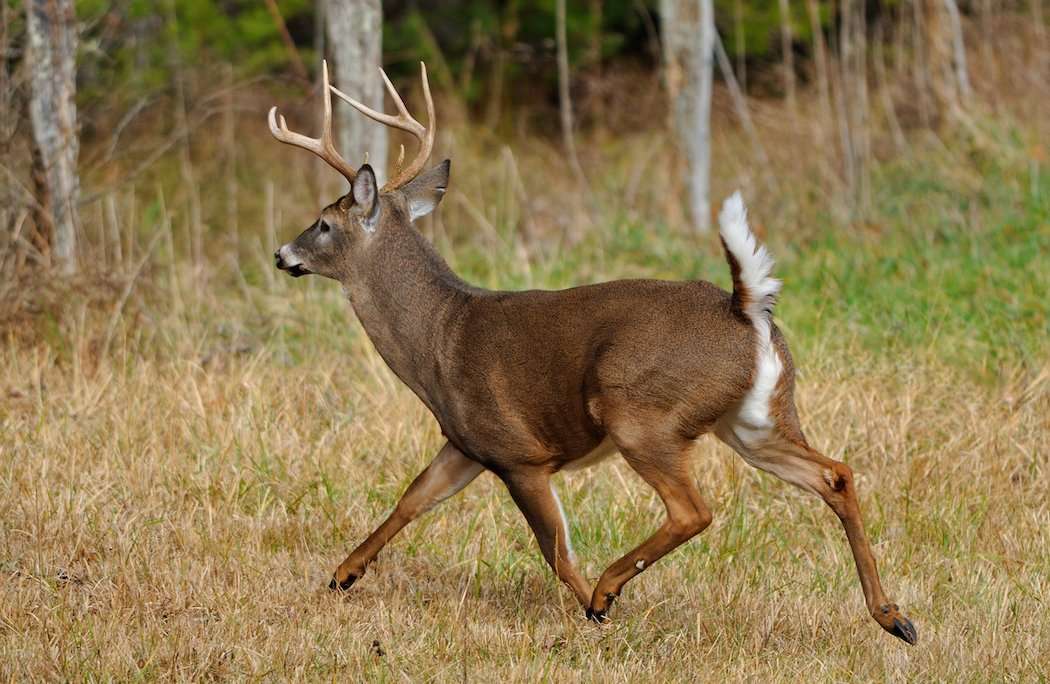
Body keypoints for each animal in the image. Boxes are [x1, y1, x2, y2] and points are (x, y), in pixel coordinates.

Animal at [269, 61, 917, 645]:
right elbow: (411, 499)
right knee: (835, 474)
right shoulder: (467, 443)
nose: (280, 254)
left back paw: (608, 591)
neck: (439, 336)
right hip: (754, 417)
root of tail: (745, 307)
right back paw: (894, 617)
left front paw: (599, 615)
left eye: (323, 223)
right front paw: (342, 575)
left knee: (694, 509)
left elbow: (555, 549)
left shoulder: (518, 452)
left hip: (640, 412)